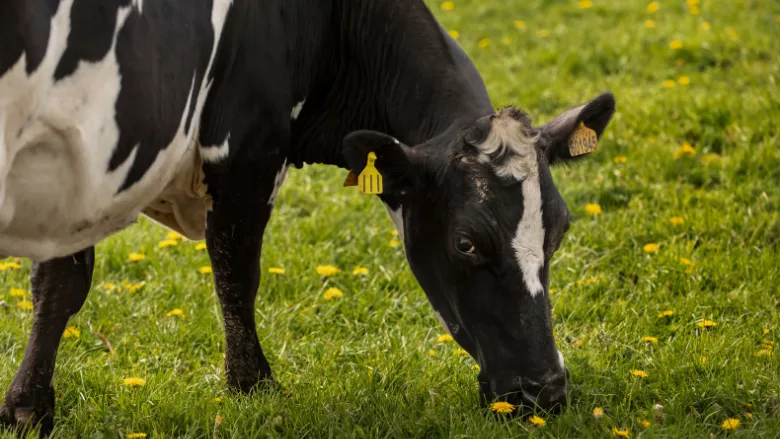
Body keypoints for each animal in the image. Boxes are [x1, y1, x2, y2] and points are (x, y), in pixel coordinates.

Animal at [0, 0, 616, 435]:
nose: (546, 391)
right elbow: (235, 275)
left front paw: (27, 408)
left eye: (560, 230)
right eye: (466, 242)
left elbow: (58, 283)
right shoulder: (245, 147)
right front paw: (252, 388)